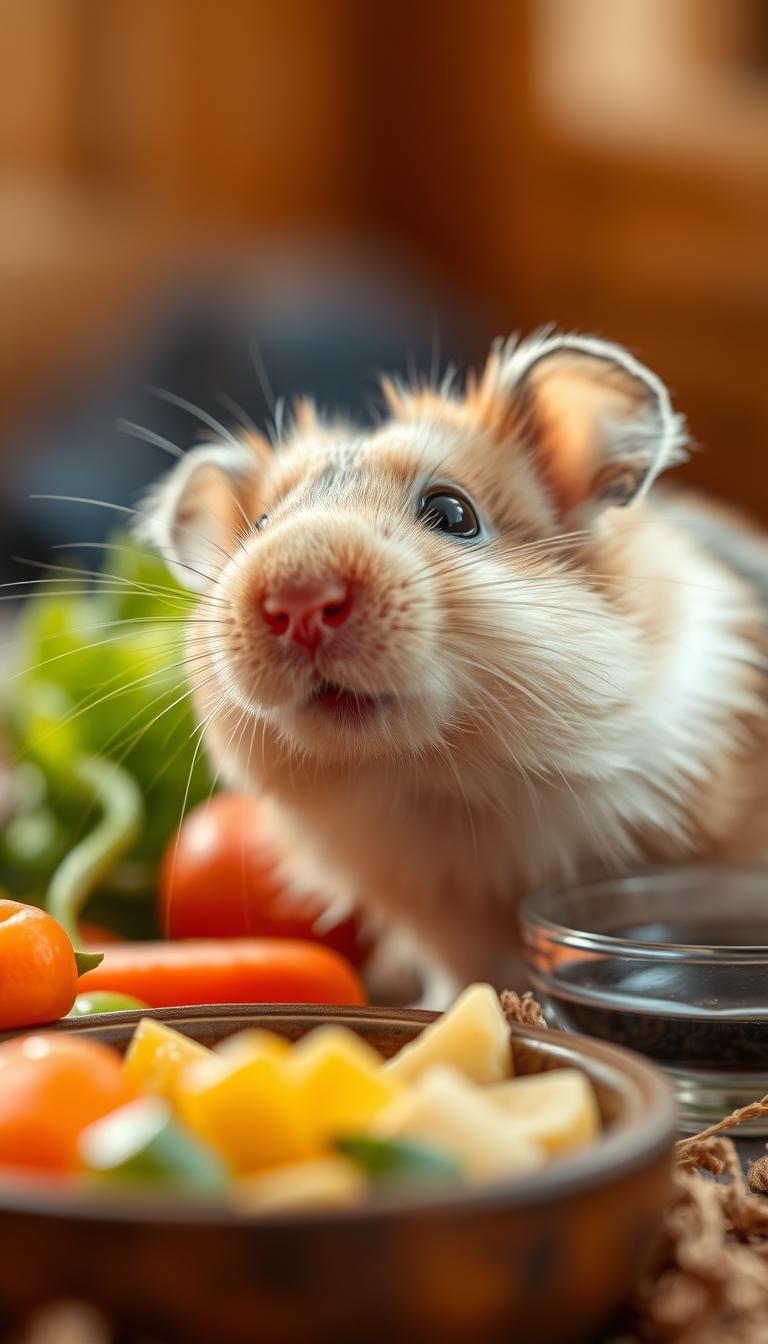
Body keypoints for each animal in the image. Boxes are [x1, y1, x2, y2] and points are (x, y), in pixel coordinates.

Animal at [138, 331, 768, 1004]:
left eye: (453, 513)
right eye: (257, 526)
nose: (298, 601)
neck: (442, 778)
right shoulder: (435, 916)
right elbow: (458, 974)